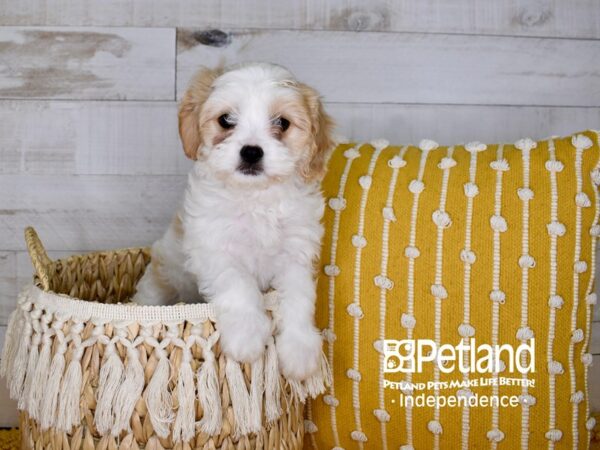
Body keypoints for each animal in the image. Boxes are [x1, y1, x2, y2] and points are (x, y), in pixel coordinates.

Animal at [132, 63, 336, 380]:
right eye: (226, 120)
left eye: (283, 123)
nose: (251, 151)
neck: (254, 198)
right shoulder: (213, 247)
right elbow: (238, 283)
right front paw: (246, 336)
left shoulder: (296, 253)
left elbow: (299, 297)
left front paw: (300, 349)